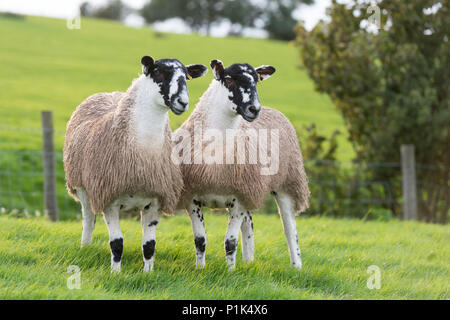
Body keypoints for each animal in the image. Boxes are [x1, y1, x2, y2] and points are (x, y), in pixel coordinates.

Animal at [63, 55, 207, 272]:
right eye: (157, 72)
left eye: (186, 76)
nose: (182, 102)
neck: (143, 153)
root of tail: (110, 93)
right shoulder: (110, 199)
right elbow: (117, 243)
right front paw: (115, 273)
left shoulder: (155, 201)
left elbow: (149, 245)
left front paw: (148, 273)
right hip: (82, 188)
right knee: (88, 220)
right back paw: (85, 247)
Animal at [174, 59, 312, 270]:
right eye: (229, 79)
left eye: (256, 81)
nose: (254, 109)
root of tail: (274, 110)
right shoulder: (192, 198)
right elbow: (200, 240)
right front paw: (200, 269)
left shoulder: (238, 199)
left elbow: (230, 242)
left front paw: (230, 272)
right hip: (251, 189)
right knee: (249, 225)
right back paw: (249, 261)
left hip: (287, 183)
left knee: (290, 228)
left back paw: (296, 266)